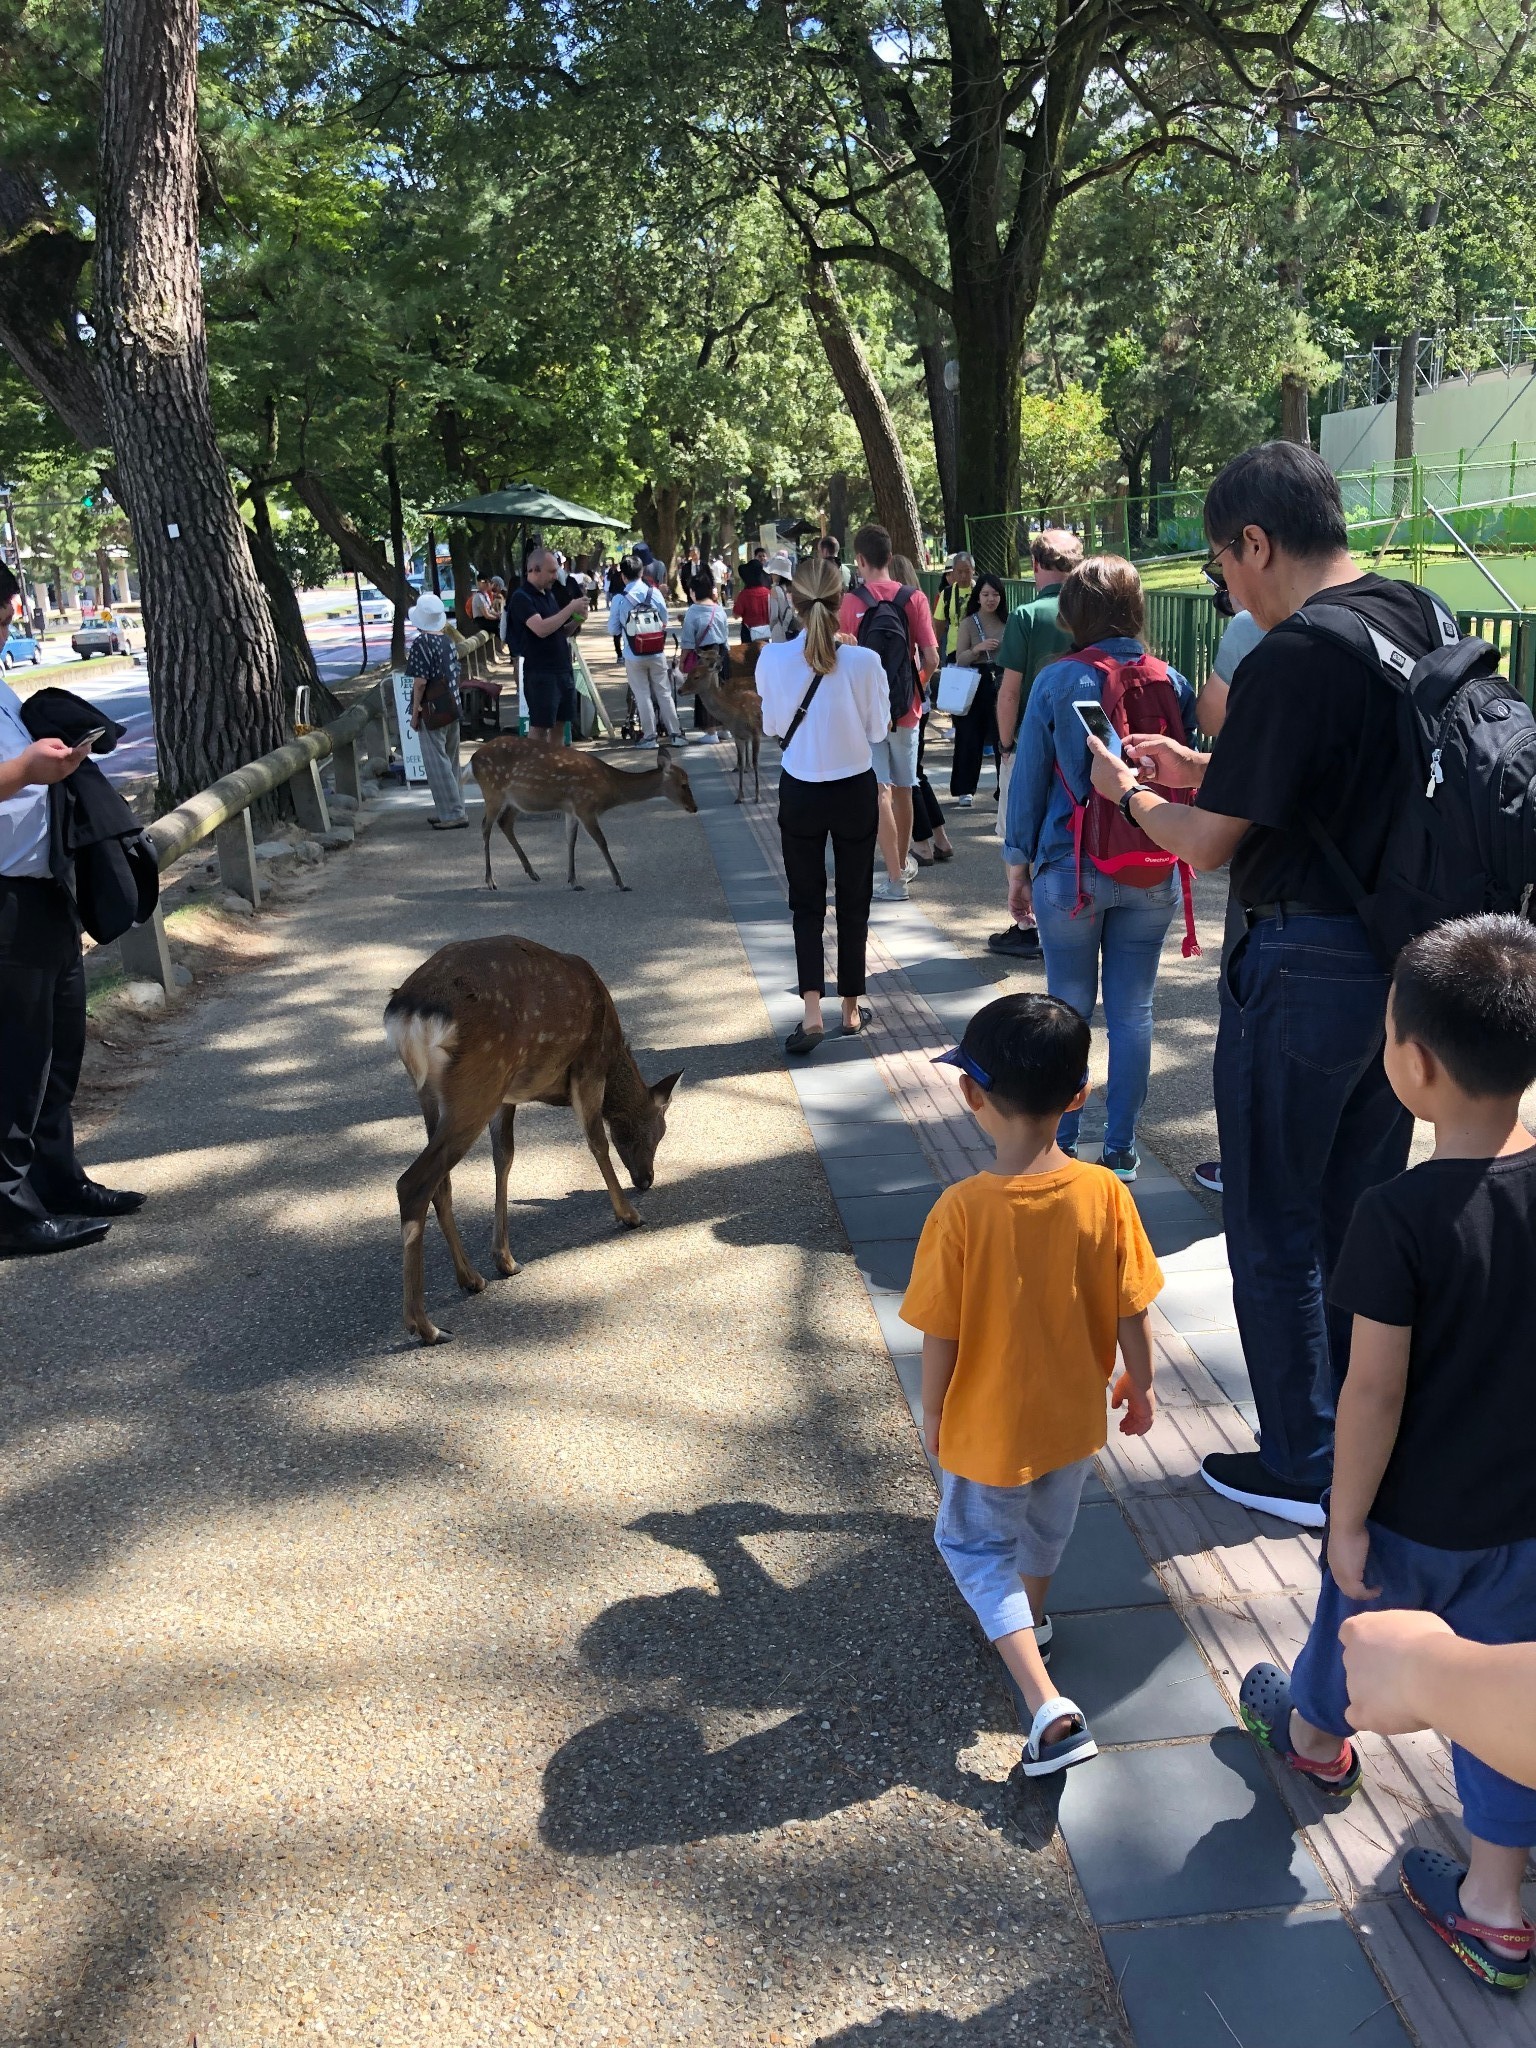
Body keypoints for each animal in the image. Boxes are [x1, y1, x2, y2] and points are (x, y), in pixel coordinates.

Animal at [382, 933, 684, 1343]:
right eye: (658, 1131)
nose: (646, 1179)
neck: (613, 1052)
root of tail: (408, 1011)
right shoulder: (588, 1064)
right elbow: (596, 1140)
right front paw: (628, 1215)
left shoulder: (508, 1097)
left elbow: (504, 1157)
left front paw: (505, 1259)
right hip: (480, 1078)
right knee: (413, 1182)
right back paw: (425, 1326)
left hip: (437, 1092)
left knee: (439, 1183)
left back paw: (471, 1278)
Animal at [468, 741, 696, 892]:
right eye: (684, 784)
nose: (694, 808)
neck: (610, 787)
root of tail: (472, 760)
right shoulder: (586, 806)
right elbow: (602, 841)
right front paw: (621, 882)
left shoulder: (572, 809)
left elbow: (571, 840)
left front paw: (574, 881)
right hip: (493, 791)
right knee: (485, 827)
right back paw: (490, 881)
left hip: (514, 800)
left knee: (504, 822)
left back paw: (532, 873)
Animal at [696, 659, 765, 811]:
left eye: (696, 676)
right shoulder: (739, 735)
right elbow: (741, 759)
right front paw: (739, 796)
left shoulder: (755, 733)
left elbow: (755, 762)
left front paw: (757, 797)